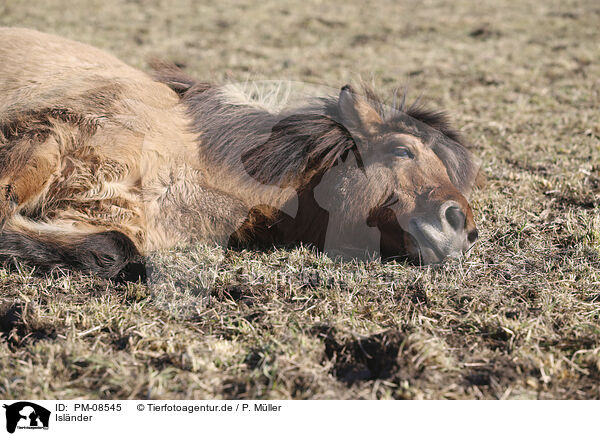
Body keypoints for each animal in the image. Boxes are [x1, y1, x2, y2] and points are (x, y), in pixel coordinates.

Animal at [0, 28, 480, 280]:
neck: (191, 159)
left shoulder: (102, 217)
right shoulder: (46, 136)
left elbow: (114, 248)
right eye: (402, 150)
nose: (463, 228)